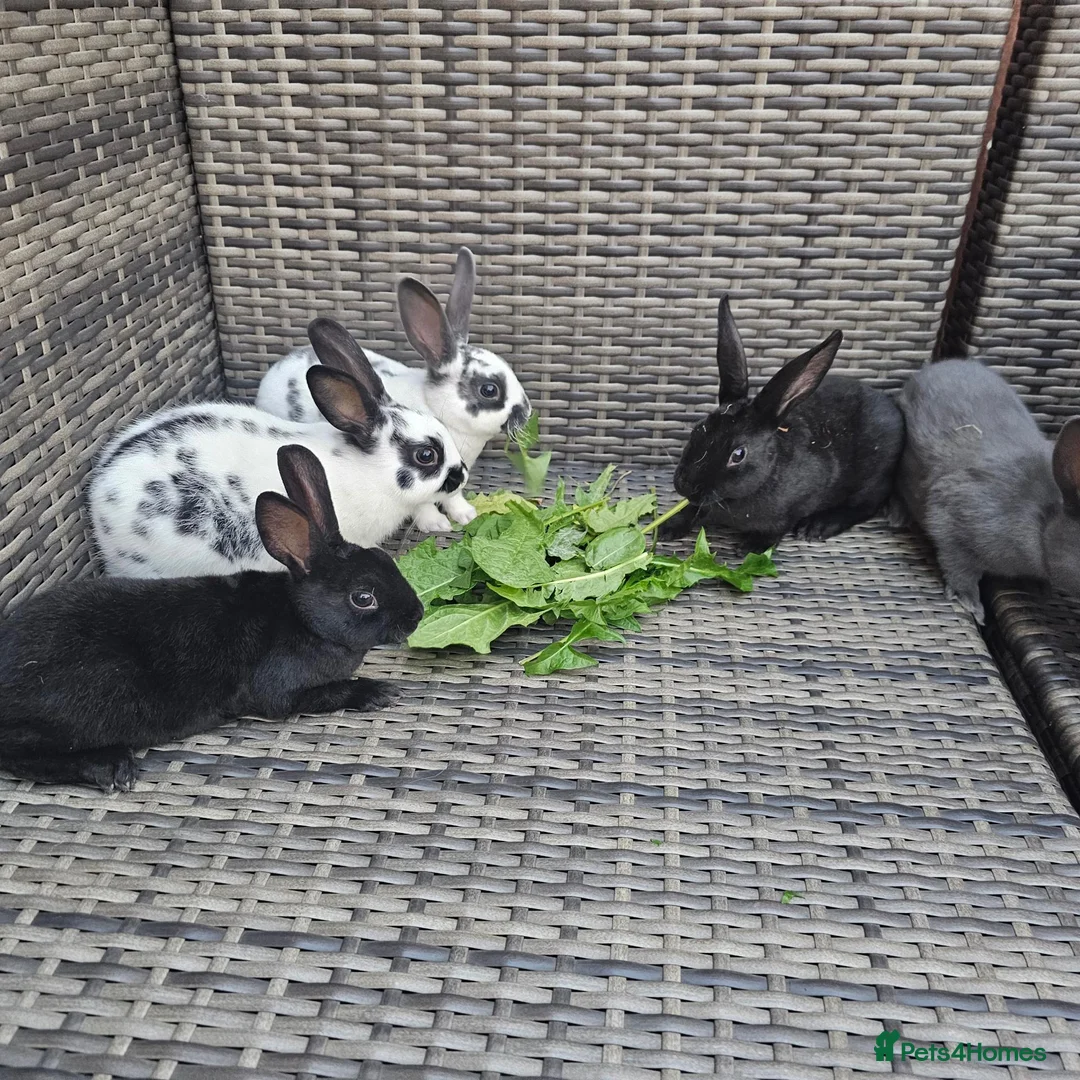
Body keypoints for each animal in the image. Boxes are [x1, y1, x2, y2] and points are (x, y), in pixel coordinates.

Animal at [0, 444, 425, 792]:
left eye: (386, 560)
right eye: (363, 597)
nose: (417, 616)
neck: (304, 618)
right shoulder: (279, 693)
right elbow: (324, 693)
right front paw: (378, 692)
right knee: (17, 754)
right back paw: (110, 768)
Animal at [255, 247, 532, 533]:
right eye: (489, 389)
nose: (527, 412)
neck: (435, 406)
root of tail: (275, 370)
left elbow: (453, 495)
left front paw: (467, 515)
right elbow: (422, 504)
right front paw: (437, 524)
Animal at [661, 296, 905, 551]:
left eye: (738, 454)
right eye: (698, 429)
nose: (684, 486)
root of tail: (890, 406)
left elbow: (778, 527)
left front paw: (752, 547)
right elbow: (691, 510)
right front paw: (667, 527)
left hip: (873, 479)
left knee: (866, 505)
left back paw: (817, 526)